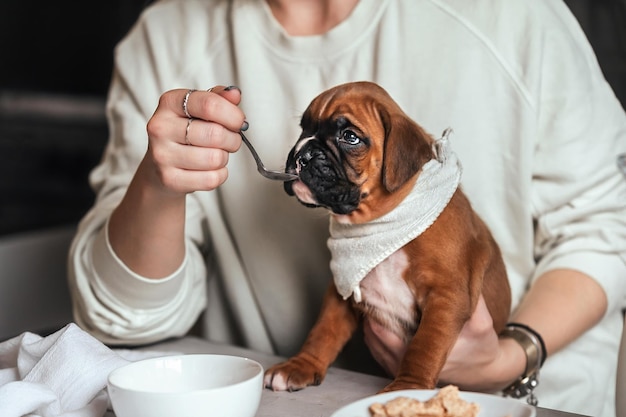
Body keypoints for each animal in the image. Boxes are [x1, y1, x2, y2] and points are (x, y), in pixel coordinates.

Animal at [260, 82, 510, 394]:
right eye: (304, 129)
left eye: (350, 137)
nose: (302, 154)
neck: (379, 222)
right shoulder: (342, 289)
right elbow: (324, 330)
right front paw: (301, 365)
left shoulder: (447, 295)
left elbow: (425, 346)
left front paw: (408, 387)